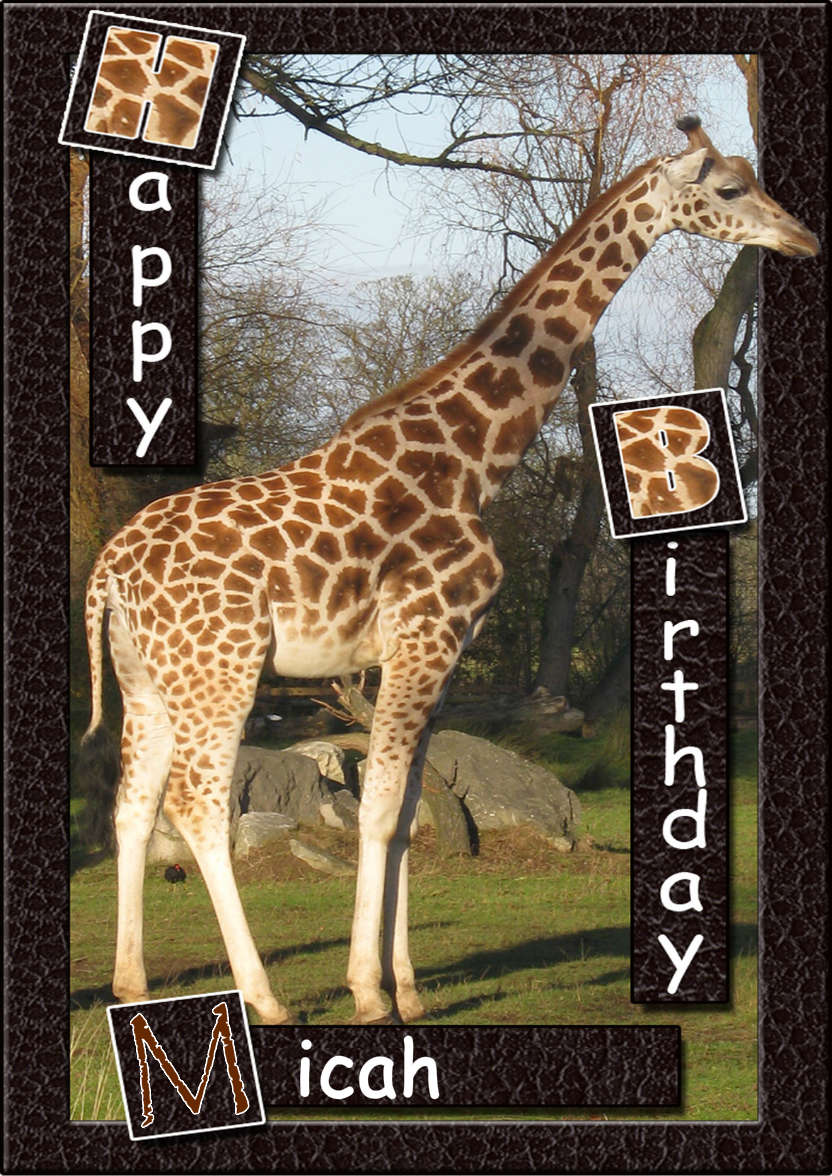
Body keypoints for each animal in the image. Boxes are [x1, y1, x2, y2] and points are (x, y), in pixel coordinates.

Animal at [81, 117, 818, 1025]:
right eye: (728, 188)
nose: (803, 238)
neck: (473, 460)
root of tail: (108, 570)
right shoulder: (423, 637)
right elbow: (375, 813)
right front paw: (368, 993)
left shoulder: (443, 651)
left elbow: (404, 818)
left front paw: (409, 991)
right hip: (220, 669)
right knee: (199, 805)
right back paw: (266, 1000)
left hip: (148, 676)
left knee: (132, 804)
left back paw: (132, 986)